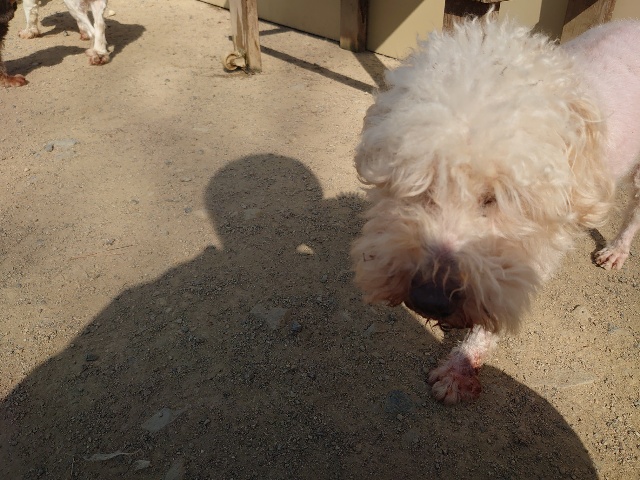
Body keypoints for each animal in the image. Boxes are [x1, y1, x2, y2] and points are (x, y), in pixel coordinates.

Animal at [351, 17, 640, 405]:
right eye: (418, 179)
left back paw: (617, 250)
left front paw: (459, 369)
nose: (429, 299)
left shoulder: (535, 251)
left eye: (501, 198)